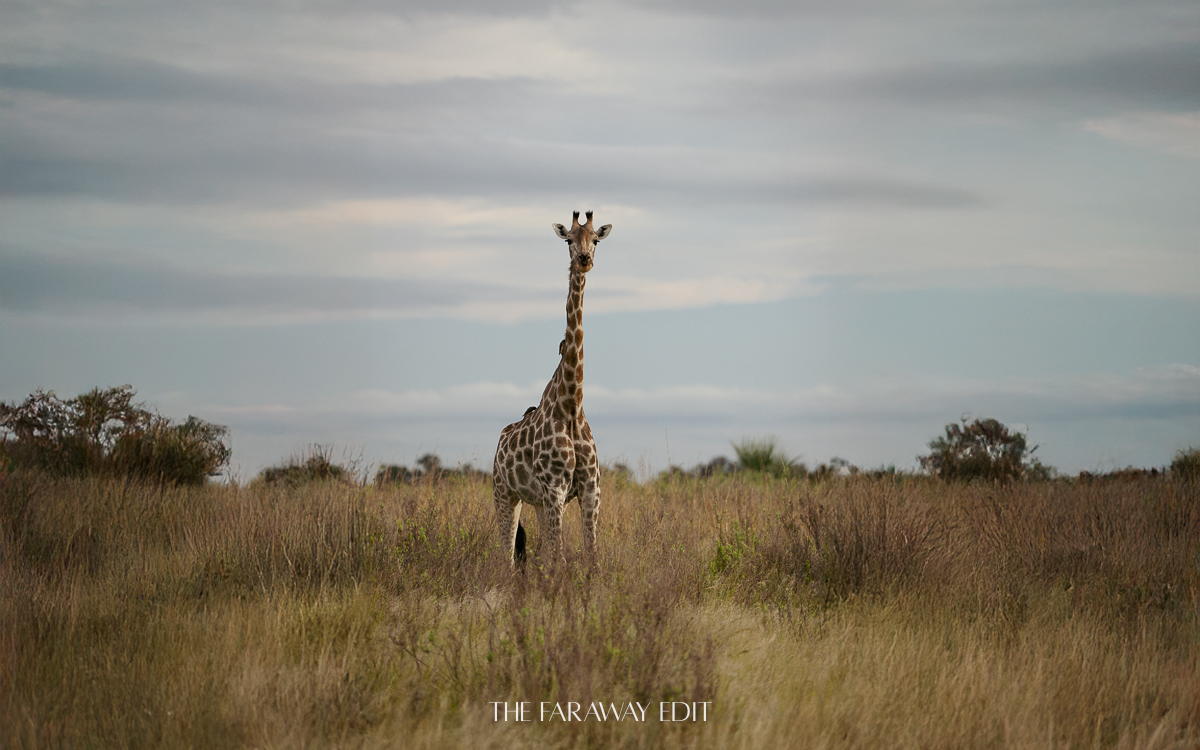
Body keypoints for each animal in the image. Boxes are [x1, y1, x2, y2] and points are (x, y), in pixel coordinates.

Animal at [493, 210, 612, 567]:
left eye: (596, 239)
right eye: (568, 240)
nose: (584, 260)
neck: (571, 404)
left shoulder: (590, 489)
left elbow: (590, 557)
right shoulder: (555, 488)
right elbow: (559, 558)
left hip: (536, 502)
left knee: (536, 550)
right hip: (504, 494)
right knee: (506, 556)